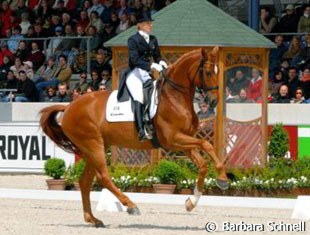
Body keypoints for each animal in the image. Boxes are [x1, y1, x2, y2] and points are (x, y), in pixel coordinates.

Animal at [39, 47, 228, 226]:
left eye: (218, 71)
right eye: (208, 72)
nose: (213, 102)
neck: (174, 97)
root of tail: (69, 106)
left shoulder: (182, 142)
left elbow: (202, 164)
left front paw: (192, 202)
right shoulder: (172, 139)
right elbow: (206, 144)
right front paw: (223, 179)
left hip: (93, 148)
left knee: (85, 181)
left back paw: (93, 219)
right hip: (93, 146)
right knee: (103, 177)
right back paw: (130, 206)